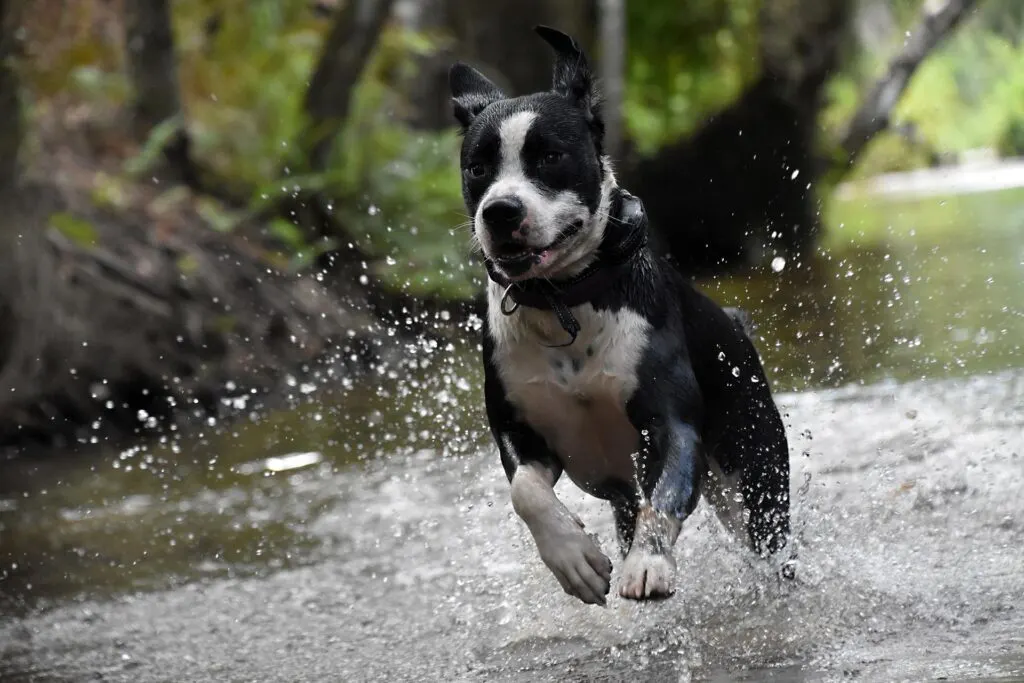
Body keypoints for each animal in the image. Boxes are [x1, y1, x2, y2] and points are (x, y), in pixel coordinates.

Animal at [448, 26, 790, 606]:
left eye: (550, 156)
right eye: (478, 168)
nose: (500, 211)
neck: (565, 302)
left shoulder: (671, 424)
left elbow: (666, 496)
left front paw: (649, 562)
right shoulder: (520, 431)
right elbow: (526, 492)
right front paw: (574, 559)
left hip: (757, 475)